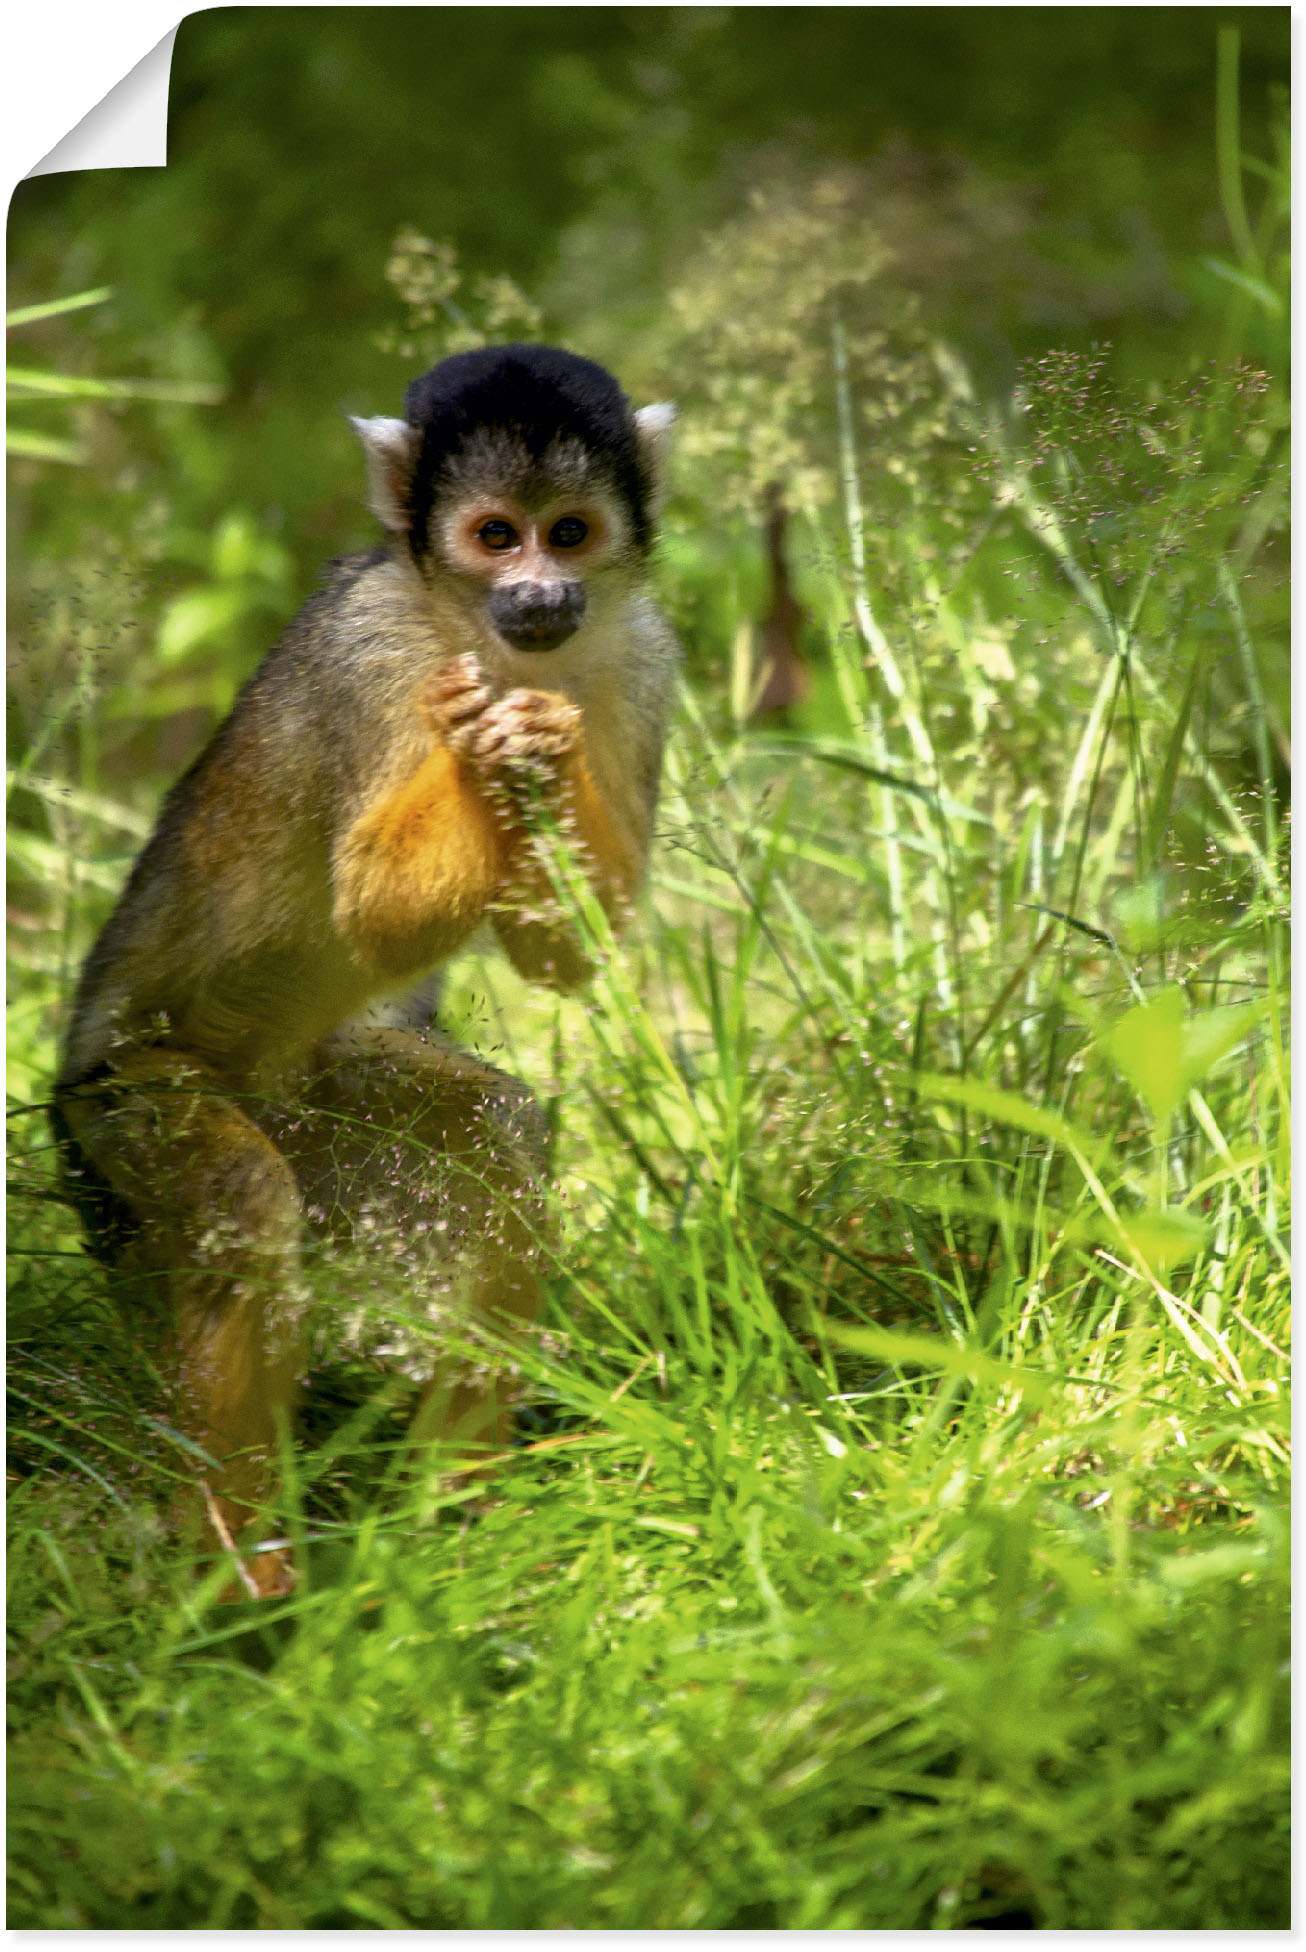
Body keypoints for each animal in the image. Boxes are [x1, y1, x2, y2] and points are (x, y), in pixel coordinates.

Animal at [51, 343, 683, 1592]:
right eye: (495, 536)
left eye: (569, 532)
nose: (539, 593)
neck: (480, 636)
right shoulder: (370, 646)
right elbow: (372, 909)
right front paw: (477, 740)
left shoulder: (642, 653)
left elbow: (569, 952)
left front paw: (539, 743)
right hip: (121, 1117)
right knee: (240, 1199)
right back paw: (240, 1555)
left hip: (325, 1121)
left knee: (491, 1131)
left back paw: (462, 1509)